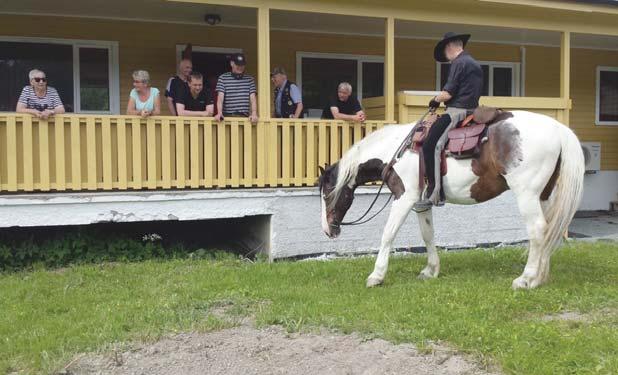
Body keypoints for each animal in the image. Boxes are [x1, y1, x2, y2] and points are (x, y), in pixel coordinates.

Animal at [318, 110, 584, 290]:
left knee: (538, 230)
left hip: (527, 194)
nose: (328, 230)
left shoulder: (405, 197)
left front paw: (376, 276)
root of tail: (558, 128)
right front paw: (431, 270)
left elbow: (388, 234)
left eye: (327, 193)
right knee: (548, 230)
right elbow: (428, 235)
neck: (396, 152)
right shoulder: (421, 203)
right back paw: (540, 278)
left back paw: (525, 279)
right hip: (544, 195)